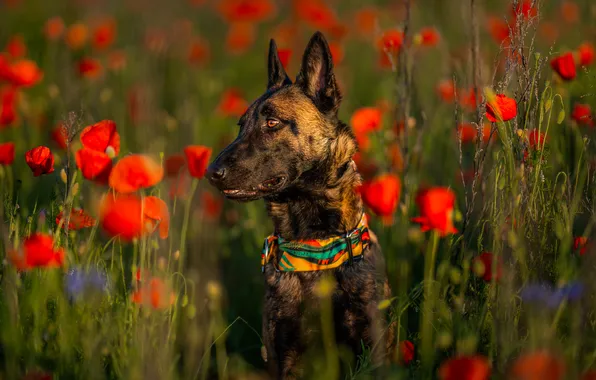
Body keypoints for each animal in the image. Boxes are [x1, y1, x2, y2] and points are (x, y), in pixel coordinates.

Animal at [207, 31, 394, 378]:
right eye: (241, 125)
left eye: (272, 123)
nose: (211, 172)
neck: (316, 250)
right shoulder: (283, 352)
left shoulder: (373, 343)